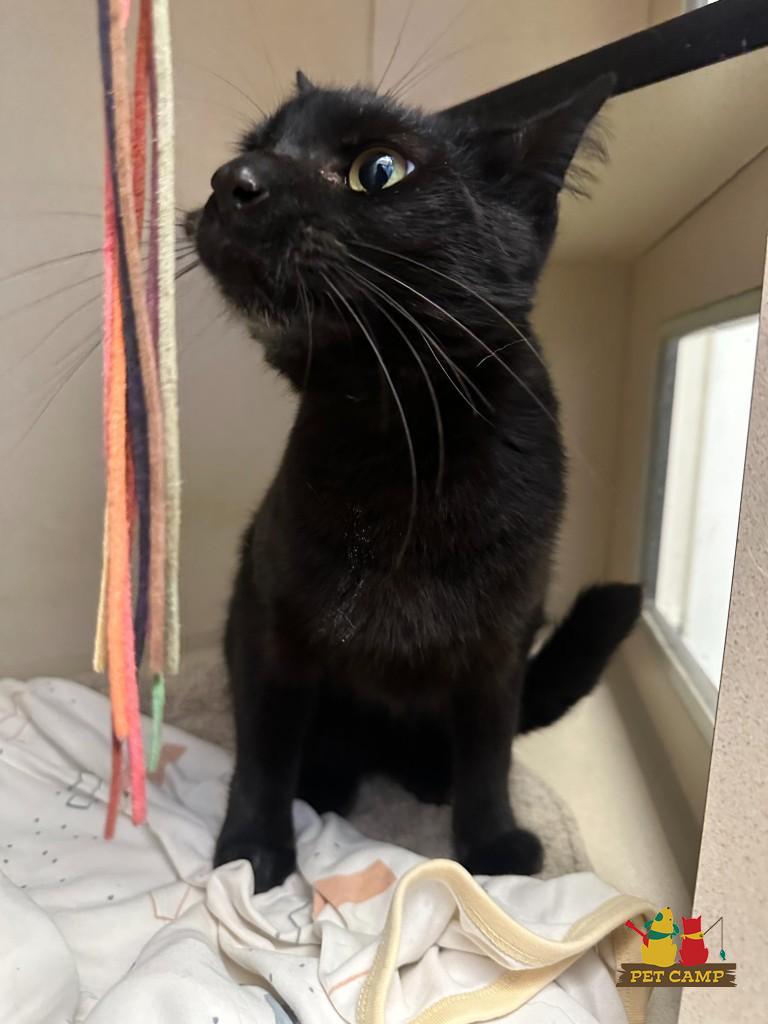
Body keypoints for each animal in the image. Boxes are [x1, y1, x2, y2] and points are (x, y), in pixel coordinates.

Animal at [188, 69, 642, 893]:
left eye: (379, 169)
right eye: (259, 145)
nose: (233, 179)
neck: (399, 444)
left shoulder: (500, 645)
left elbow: (490, 753)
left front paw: (492, 847)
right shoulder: (268, 621)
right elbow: (263, 748)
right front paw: (252, 850)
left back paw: (433, 779)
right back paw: (326, 784)